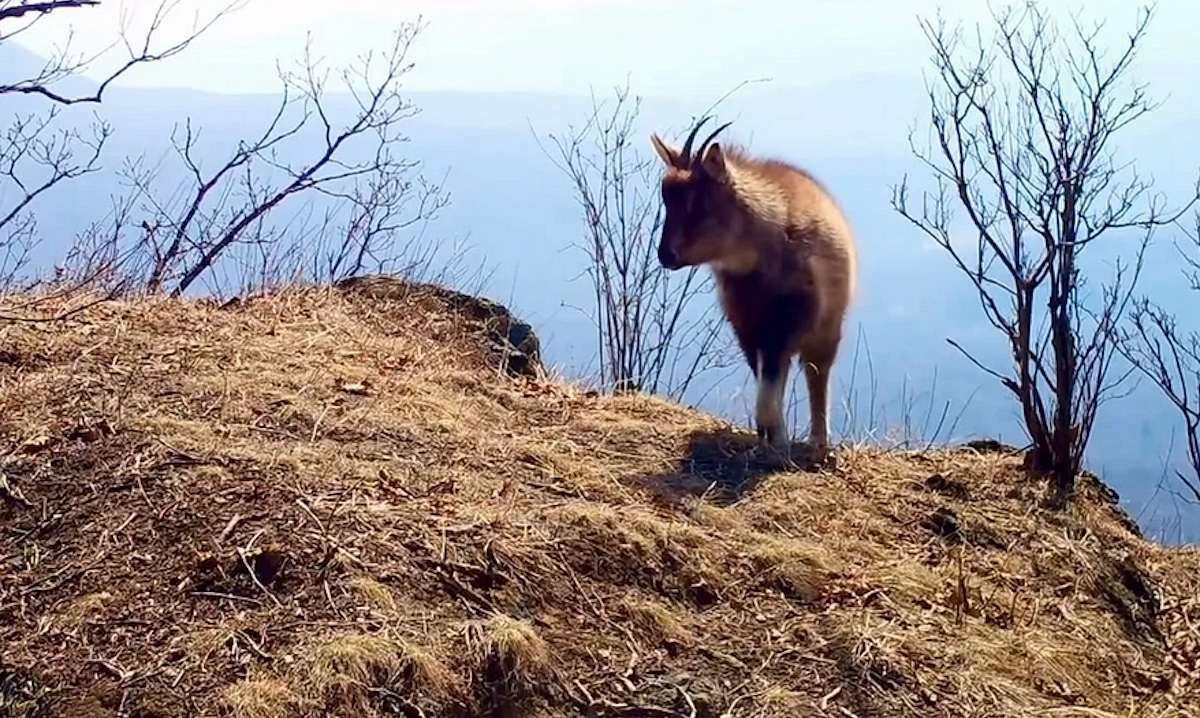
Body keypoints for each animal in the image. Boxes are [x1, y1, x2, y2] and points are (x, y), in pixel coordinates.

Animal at [652, 118, 859, 463]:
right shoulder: (748, 328)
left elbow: (777, 381)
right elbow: (767, 380)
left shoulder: (787, 323)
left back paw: (819, 442)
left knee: (817, 373)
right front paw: (770, 439)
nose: (666, 255)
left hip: (827, 326)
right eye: (667, 200)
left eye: (699, 203)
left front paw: (777, 439)